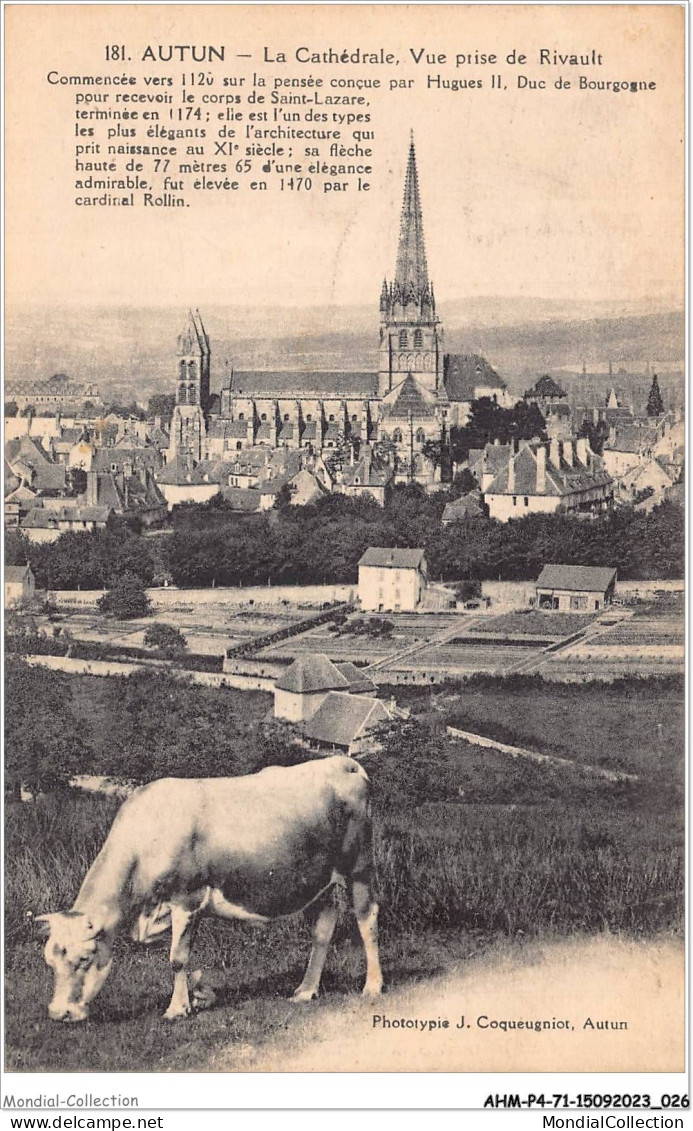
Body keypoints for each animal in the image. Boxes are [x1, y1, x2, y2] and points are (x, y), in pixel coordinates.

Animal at [37, 755, 384, 1022]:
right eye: (49, 962)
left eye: (84, 959)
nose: (58, 1013)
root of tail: (343, 762)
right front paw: (199, 994)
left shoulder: (186, 898)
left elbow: (177, 958)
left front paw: (177, 1009)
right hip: (315, 880)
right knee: (323, 927)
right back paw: (305, 990)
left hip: (359, 865)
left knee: (367, 919)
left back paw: (372, 986)